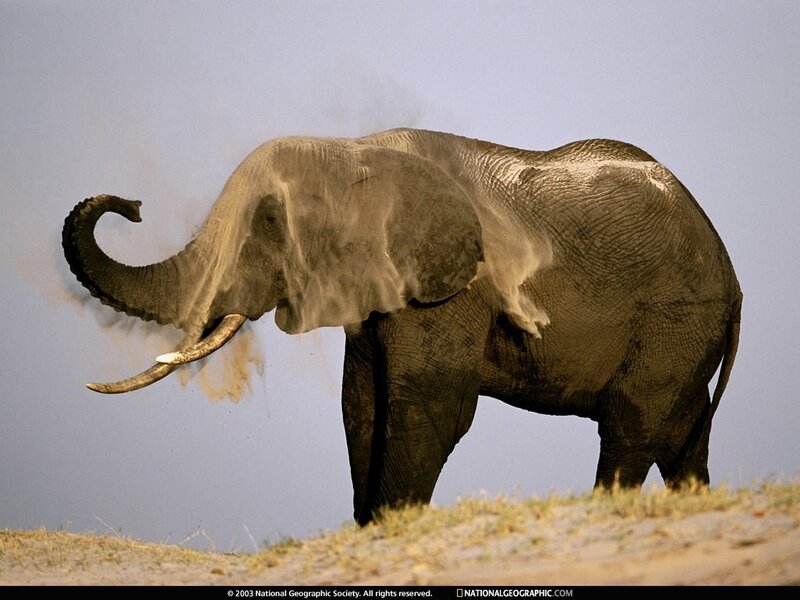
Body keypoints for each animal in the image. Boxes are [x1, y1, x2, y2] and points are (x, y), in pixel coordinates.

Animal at [63, 128, 742, 525]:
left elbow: (429, 405)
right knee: (681, 435)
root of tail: (731, 272)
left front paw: (392, 524)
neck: (353, 150)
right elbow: (363, 403)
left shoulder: (451, 286)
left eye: (270, 225)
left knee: (631, 426)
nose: (130, 206)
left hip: (676, 317)